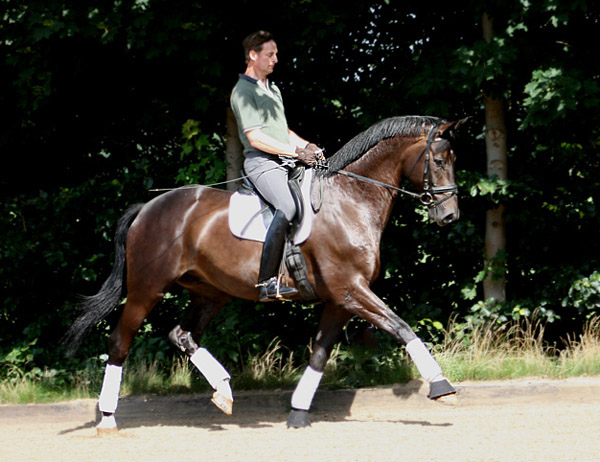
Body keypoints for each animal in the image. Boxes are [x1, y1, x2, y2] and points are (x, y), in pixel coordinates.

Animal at [65, 113, 466, 432]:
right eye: (439, 159)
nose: (450, 216)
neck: (351, 199)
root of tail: (147, 208)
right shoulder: (351, 289)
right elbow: (401, 327)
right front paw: (441, 387)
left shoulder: (341, 298)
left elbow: (319, 353)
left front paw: (298, 413)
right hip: (147, 288)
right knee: (120, 342)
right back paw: (108, 418)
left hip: (210, 292)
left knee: (182, 334)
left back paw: (224, 390)